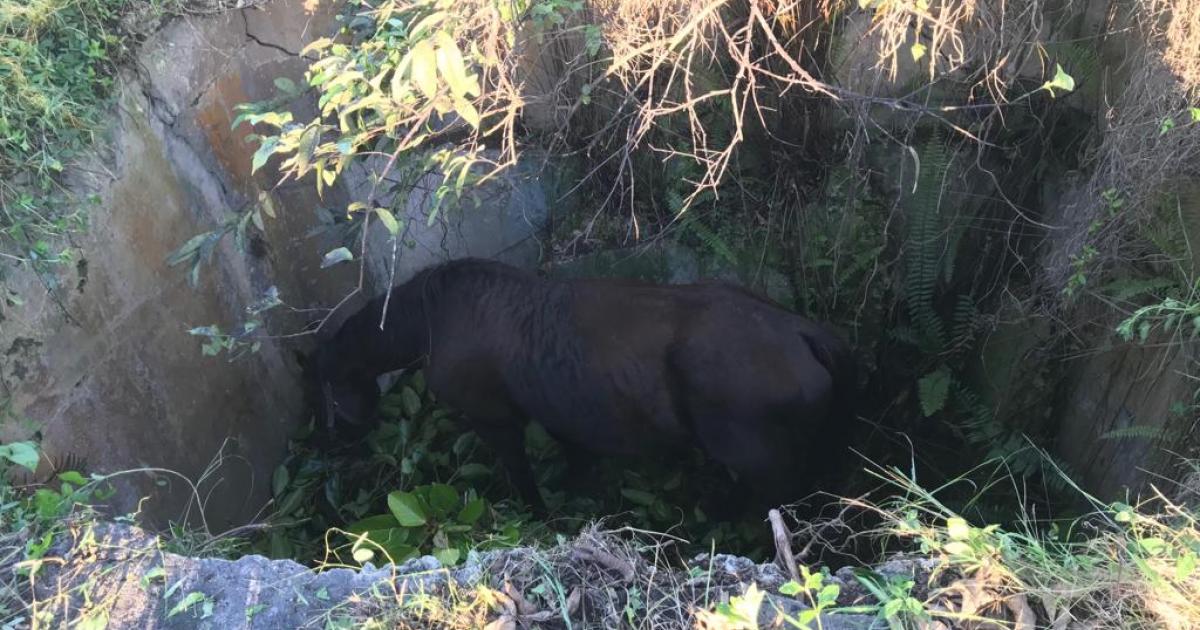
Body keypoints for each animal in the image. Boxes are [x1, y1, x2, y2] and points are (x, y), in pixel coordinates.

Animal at [309, 258, 854, 513]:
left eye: (328, 391)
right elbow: (573, 454)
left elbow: (522, 475)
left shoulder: (496, 420)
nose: (337, 440)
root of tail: (804, 333)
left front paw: (537, 516)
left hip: (765, 464)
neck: (430, 317)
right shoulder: (558, 410)